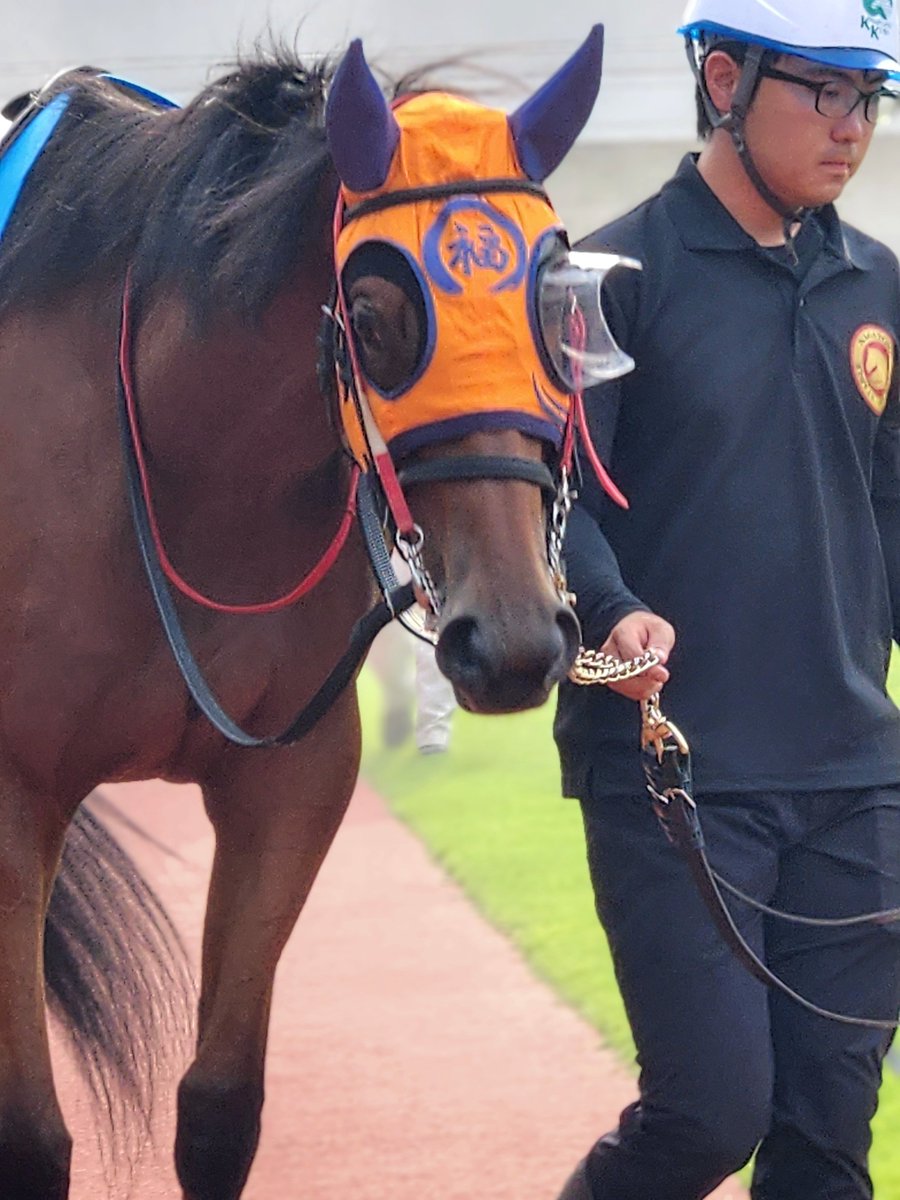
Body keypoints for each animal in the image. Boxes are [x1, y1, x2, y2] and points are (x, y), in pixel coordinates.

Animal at [0, 27, 620, 1198]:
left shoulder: (288, 781)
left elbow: (218, 1111)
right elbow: (32, 1141)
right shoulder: (12, 797)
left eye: (555, 314)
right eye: (373, 321)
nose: (515, 639)